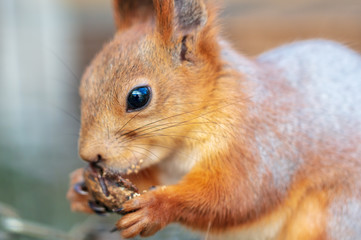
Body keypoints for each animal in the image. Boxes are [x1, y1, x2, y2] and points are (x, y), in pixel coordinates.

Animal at [67, 0, 360, 238]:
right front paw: (79, 187)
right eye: (85, 83)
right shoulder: (165, 166)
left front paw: (156, 207)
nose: (90, 155)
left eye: (138, 97)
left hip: (332, 215)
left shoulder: (259, 142)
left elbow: (237, 195)